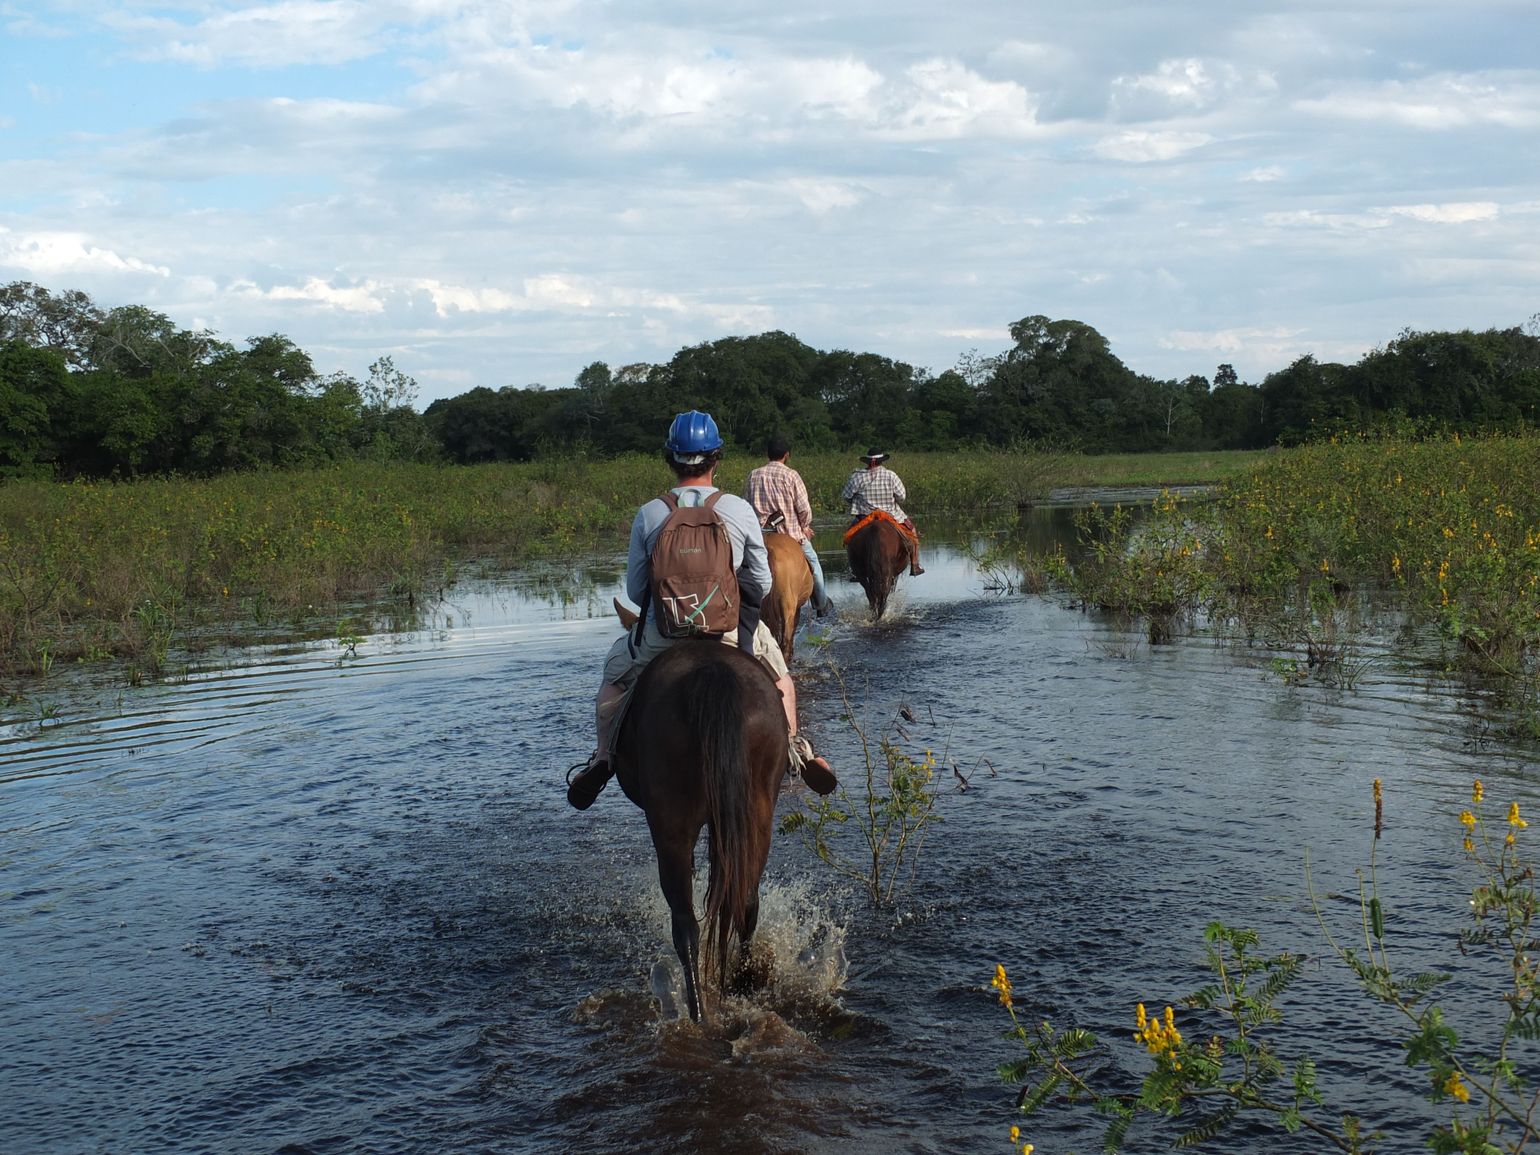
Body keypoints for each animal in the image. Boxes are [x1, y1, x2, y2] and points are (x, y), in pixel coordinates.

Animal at [608, 604, 788, 1022]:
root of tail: (712, 672)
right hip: (755, 814)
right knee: (746, 902)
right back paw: (742, 983)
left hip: (670, 822)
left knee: (685, 925)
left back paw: (699, 1013)